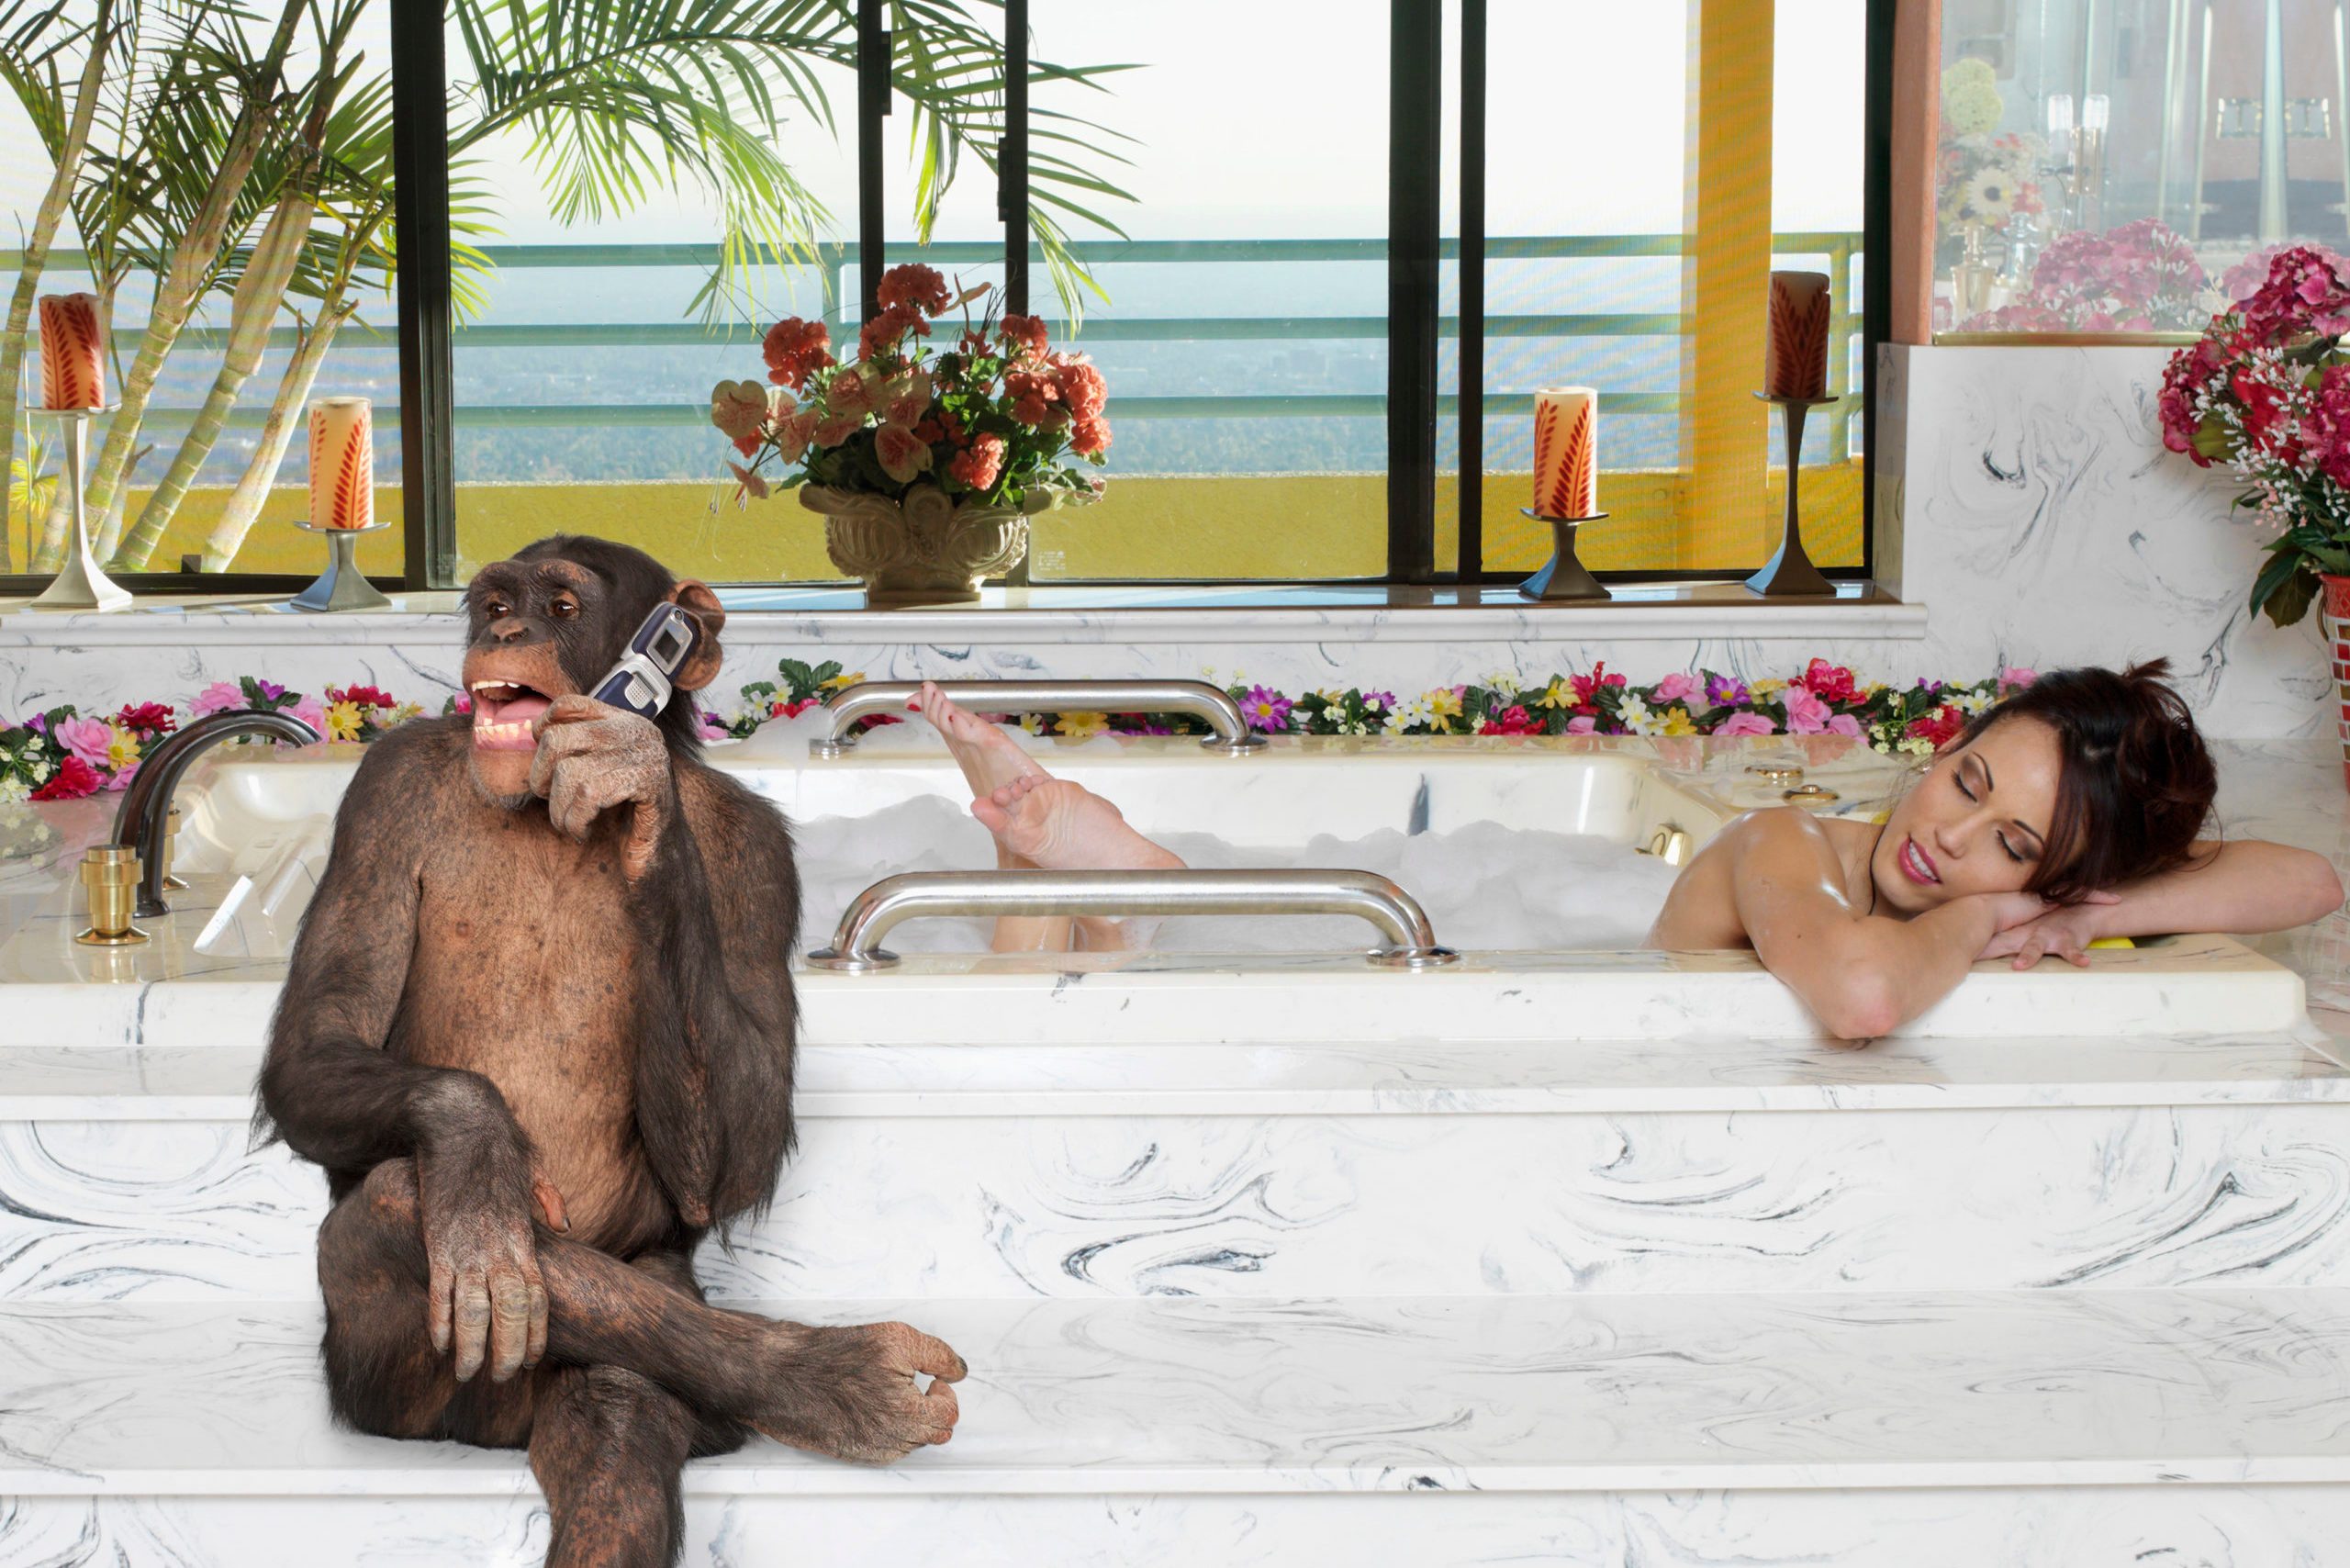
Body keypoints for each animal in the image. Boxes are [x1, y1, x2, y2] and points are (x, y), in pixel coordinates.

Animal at [256, 535, 964, 1568]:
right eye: (495, 602)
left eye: (559, 605)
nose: (506, 628)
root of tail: (484, 1431)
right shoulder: (382, 796)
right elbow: (323, 1030)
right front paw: (479, 1160)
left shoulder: (757, 855)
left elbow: (737, 1151)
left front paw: (641, 800)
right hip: (387, 1387)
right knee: (395, 1200)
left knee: (621, 1406)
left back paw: (816, 1380)